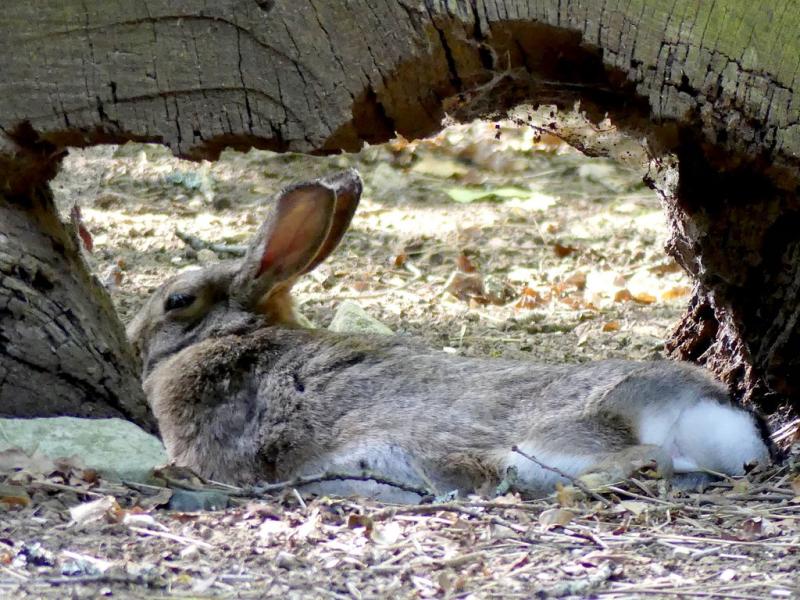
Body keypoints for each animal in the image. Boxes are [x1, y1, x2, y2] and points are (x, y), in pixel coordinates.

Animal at [127, 168, 773, 503]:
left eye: (178, 301)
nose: (133, 338)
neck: (235, 333)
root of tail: (711, 410)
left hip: (550, 441)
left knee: (642, 458)